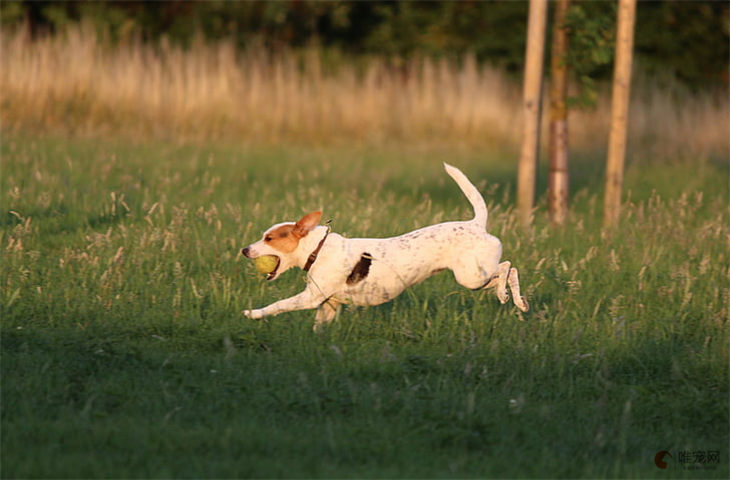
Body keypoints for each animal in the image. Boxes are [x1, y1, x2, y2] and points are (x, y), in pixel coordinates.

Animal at [242, 164, 528, 330]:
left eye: (269, 238)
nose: (244, 250)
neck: (318, 249)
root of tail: (477, 224)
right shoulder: (328, 305)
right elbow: (319, 328)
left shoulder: (309, 299)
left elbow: (278, 305)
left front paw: (253, 313)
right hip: (475, 280)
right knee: (506, 273)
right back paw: (516, 300)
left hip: (471, 276)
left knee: (507, 267)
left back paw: (506, 294)